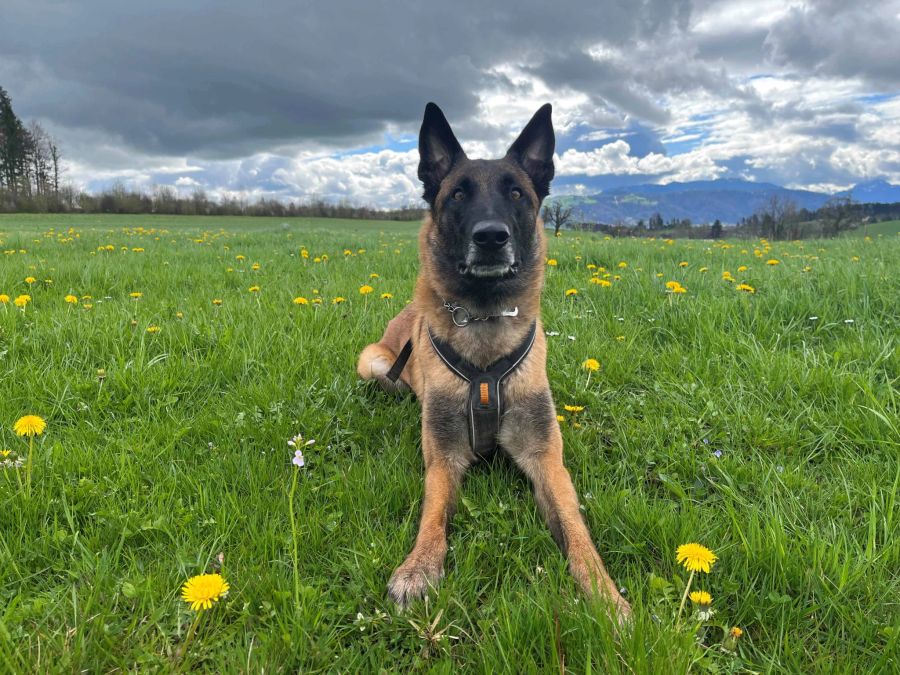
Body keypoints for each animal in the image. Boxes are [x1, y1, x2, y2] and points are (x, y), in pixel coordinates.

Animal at [356, 103, 628, 620]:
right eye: (459, 194)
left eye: (517, 193)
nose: (490, 237)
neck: (484, 322)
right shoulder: (443, 458)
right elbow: (433, 513)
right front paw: (419, 567)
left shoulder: (546, 459)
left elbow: (575, 526)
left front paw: (605, 592)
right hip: (373, 363)